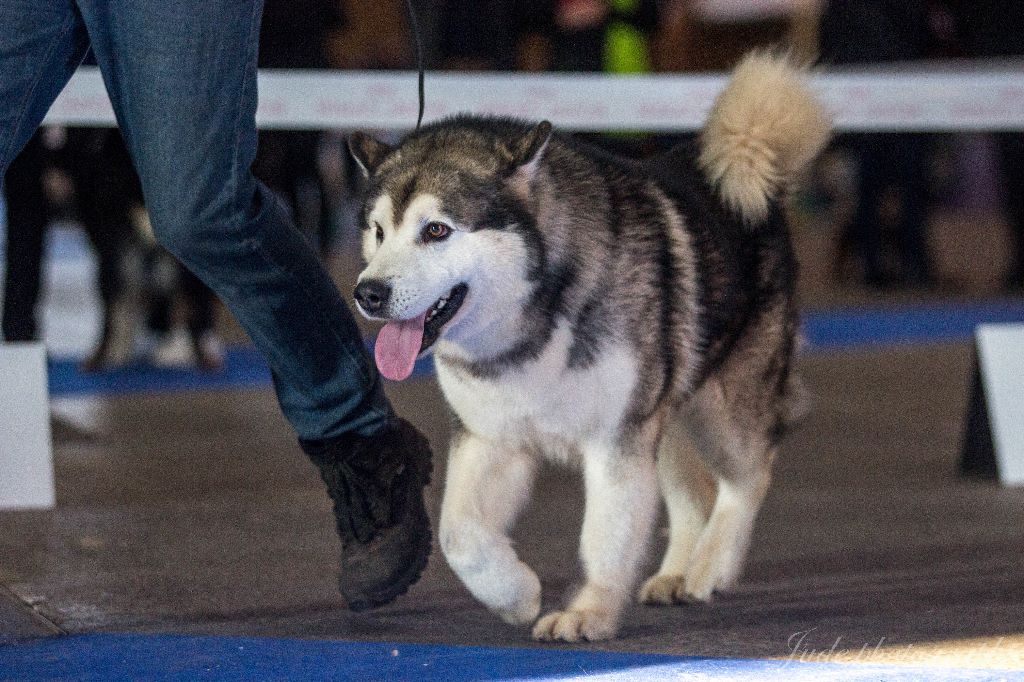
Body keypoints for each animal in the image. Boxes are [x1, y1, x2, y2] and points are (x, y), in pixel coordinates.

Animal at [348, 53, 829, 642]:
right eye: (378, 231)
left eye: (437, 230)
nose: (368, 293)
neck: (538, 313)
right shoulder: (491, 437)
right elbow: (458, 534)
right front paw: (515, 594)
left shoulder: (615, 441)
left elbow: (604, 539)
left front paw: (588, 612)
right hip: (668, 411)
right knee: (695, 490)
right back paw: (676, 572)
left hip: (723, 405)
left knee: (750, 475)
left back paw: (711, 565)